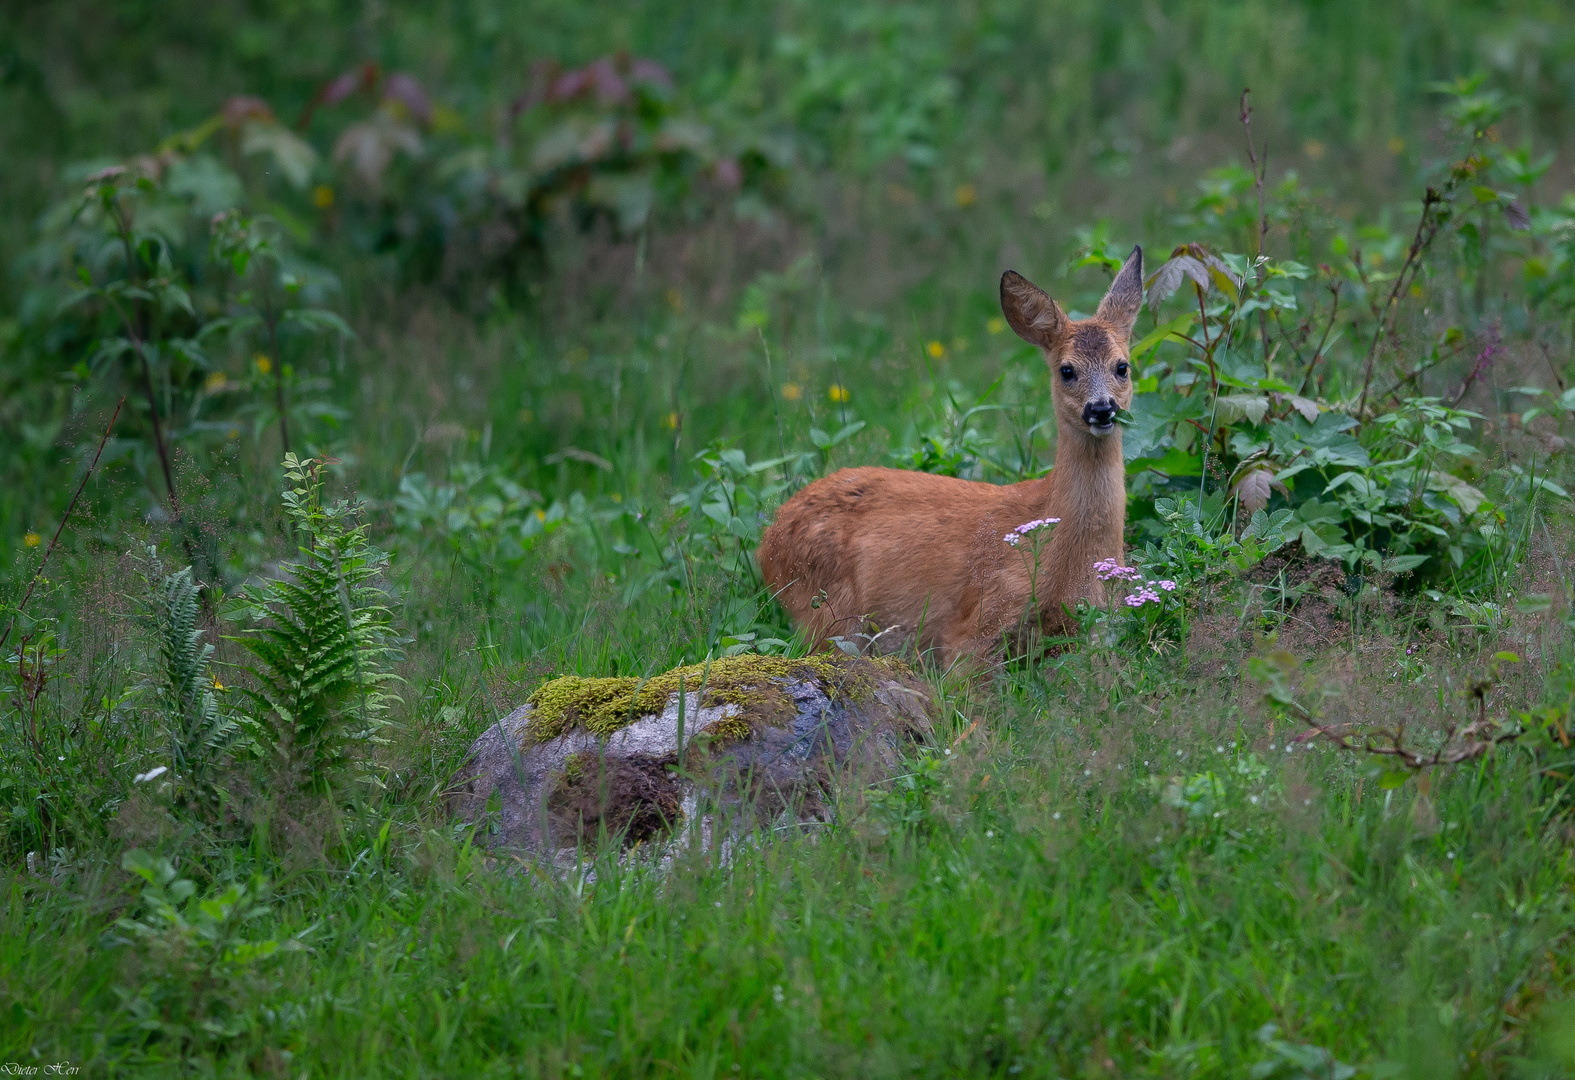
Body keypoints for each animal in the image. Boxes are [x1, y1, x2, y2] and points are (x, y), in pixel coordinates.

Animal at [752, 247, 1140, 667]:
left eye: (1122, 367)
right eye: (1067, 370)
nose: (1101, 408)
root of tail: (768, 539)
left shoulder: (1094, 628)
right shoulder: (977, 622)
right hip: (826, 609)